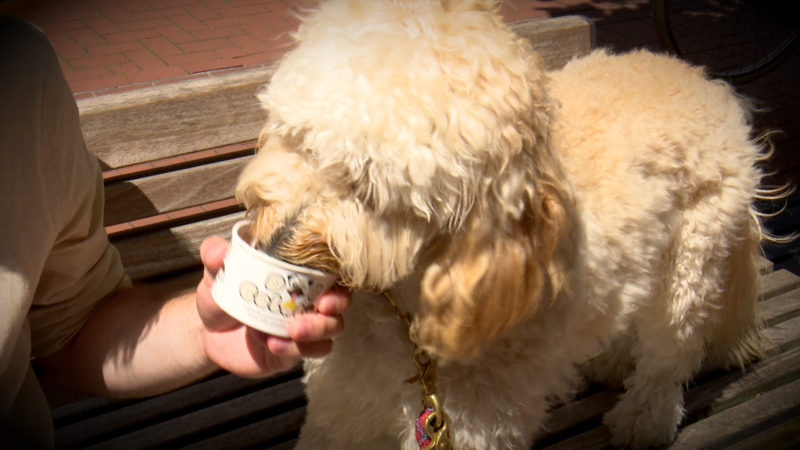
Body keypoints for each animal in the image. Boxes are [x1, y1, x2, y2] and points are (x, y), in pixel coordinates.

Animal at [234, 0, 772, 446]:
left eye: (368, 188)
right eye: (300, 140)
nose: (276, 246)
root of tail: (706, 80)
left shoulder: (477, 421)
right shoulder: (341, 406)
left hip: (692, 265)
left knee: (670, 354)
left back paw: (644, 420)